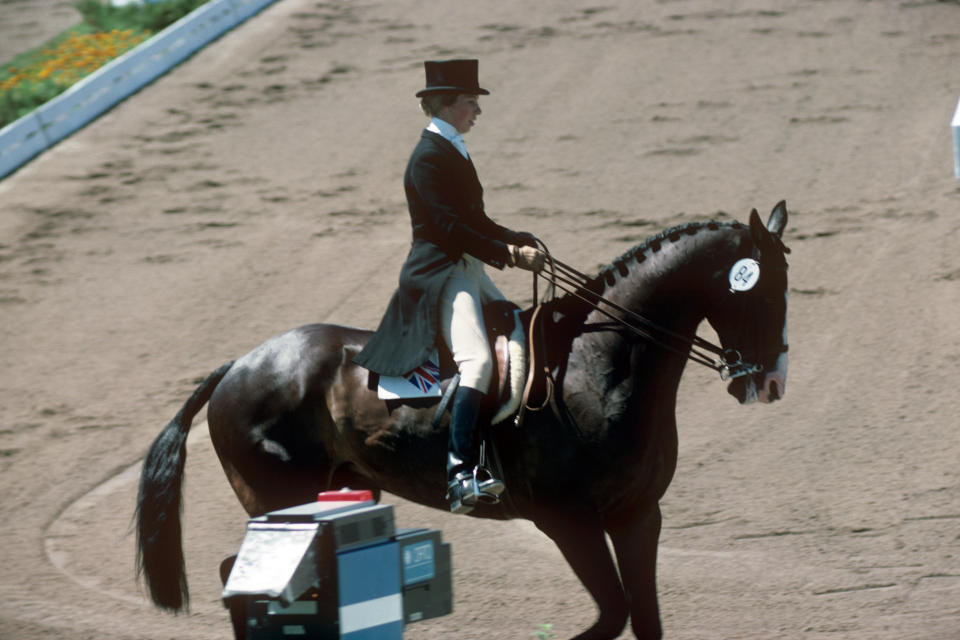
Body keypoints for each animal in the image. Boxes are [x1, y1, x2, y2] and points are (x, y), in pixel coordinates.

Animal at [139, 201, 792, 640]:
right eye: (763, 294)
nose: (771, 384)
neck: (598, 364)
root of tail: (239, 366)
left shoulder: (637, 515)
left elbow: (644, 618)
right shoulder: (567, 522)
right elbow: (613, 615)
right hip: (281, 497)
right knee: (247, 580)